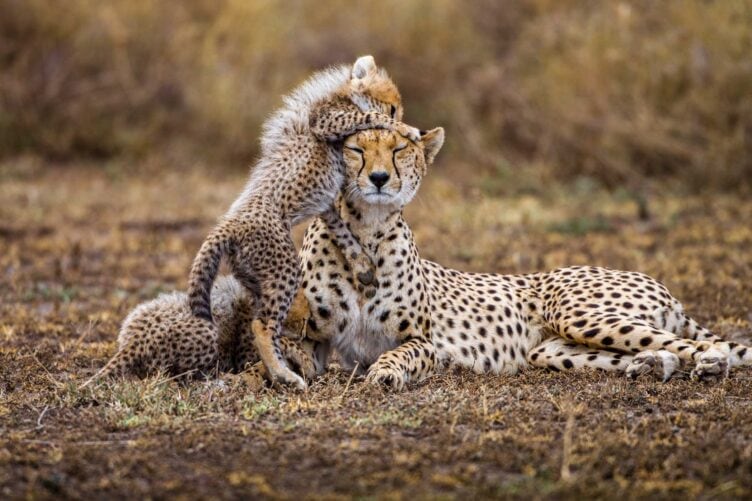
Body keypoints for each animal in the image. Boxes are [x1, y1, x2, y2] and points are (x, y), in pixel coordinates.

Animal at [187, 55, 420, 389]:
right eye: (392, 107)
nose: (402, 120)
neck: (341, 94)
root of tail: (227, 226)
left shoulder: (327, 203)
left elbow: (344, 233)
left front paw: (363, 266)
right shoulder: (326, 120)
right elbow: (369, 115)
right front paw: (407, 128)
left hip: (258, 276)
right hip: (283, 269)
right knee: (261, 325)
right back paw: (285, 374)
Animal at [299, 127, 752, 389]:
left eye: (398, 151)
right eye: (357, 150)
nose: (378, 178)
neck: (366, 234)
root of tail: (662, 287)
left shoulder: (425, 342)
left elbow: (399, 352)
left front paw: (386, 372)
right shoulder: (309, 334)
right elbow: (299, 353)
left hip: (580, 316)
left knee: (702, 345)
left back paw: (711, 364)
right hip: (552, 350)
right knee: (667, 352)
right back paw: (649, 367)